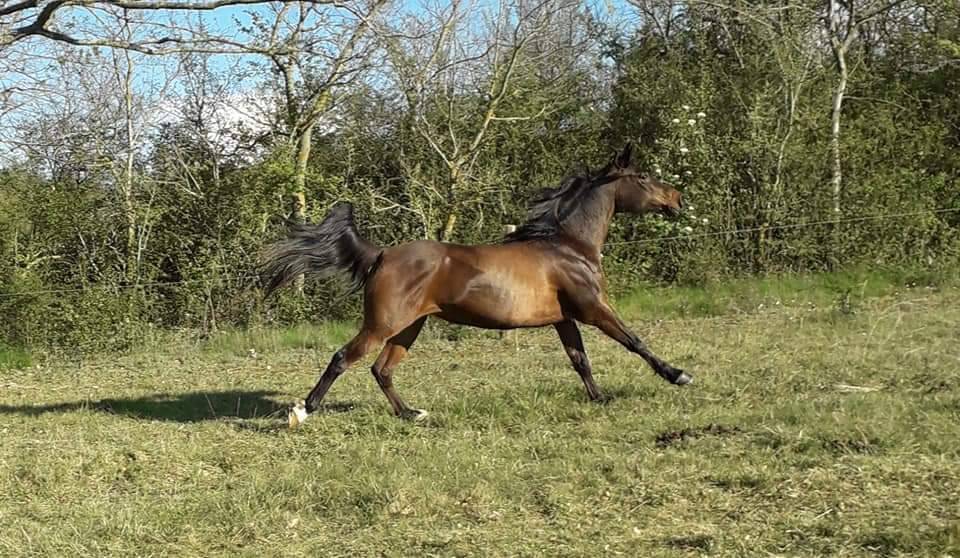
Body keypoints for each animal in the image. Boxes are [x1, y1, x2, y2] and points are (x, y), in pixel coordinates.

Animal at [261, 143, 692, 427]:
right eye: (642, 177)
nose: (677, 198)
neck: (568, 245)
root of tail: (382, 254)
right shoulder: (592, 308)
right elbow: (635, 341)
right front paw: (678, 374)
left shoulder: (564, 318)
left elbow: (579, 359)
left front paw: (599, 398)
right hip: (383, 324)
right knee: (343, 358)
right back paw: (303, 410)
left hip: (409, 327)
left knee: (381, 370)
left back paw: (411, 413)